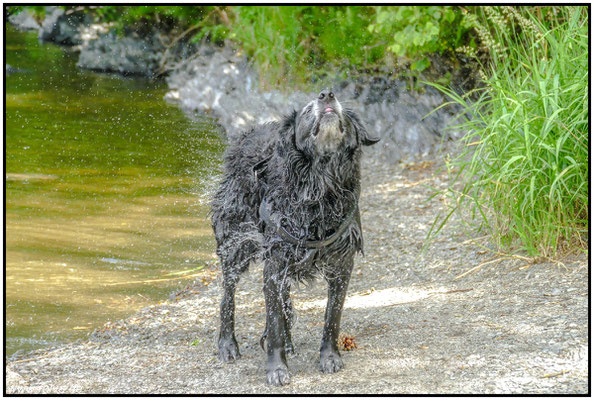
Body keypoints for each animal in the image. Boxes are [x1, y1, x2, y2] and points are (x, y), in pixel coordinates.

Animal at [210, 90, 376, 384]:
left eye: (343, 110)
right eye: (307, 110)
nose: (327, 94)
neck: (322, 186)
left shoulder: (341, 263)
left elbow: (332, 317)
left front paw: (329, 357)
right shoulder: (275, 263)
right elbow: (275, 319)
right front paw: (277, 369)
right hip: (235, 243)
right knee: (228, 295)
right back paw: (227, 344)